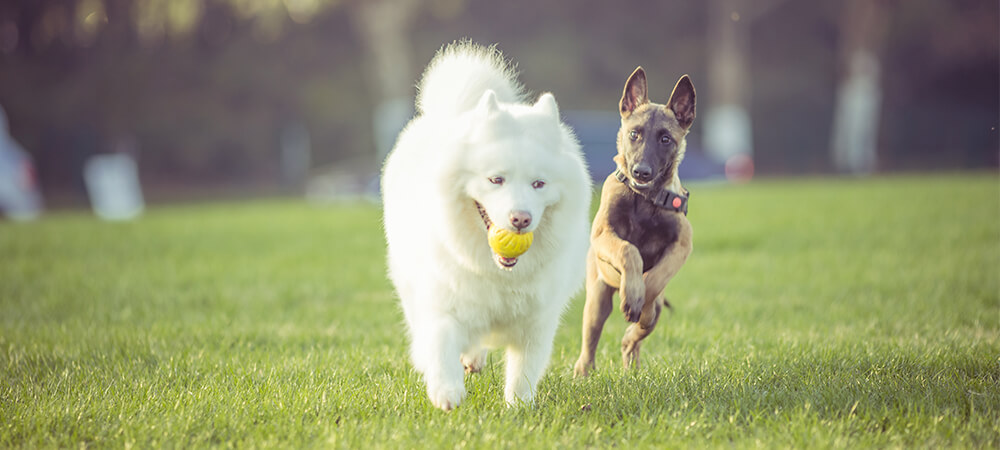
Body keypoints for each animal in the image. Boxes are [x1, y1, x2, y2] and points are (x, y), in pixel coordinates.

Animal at [378, 43, 588, 412]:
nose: (520, 219)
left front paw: (518, 408)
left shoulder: (536, 323)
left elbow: (523, 372)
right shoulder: (443, 302)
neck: (499, 274)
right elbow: (441, 344)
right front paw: (446, 391)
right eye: (496, 180)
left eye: (538, 184)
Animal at [580, 67, 696, 376]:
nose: (641, 172)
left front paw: (641, 302)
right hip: (597, 300)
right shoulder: (604, 235)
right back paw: (583, 373)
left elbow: (655, 279)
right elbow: (628, 250)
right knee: (589, 342)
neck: (644, 199)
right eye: (634, 134)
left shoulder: (682, 245)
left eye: (665, 139)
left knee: (633, 338)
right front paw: (633, 293)